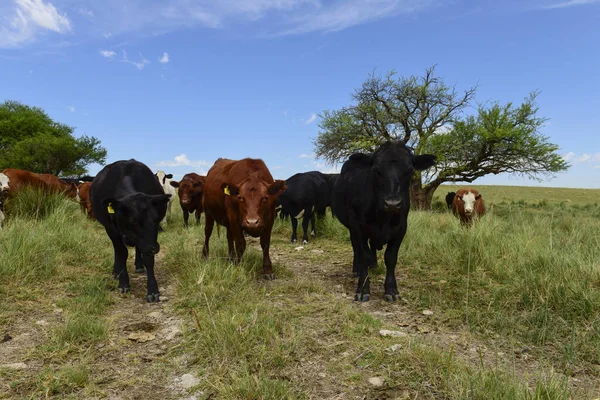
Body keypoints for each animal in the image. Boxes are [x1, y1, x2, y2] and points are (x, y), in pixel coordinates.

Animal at [91, 159, 171, 300]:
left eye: (155, 219)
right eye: (133, 220)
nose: (154, 248)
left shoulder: (150, 238)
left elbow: (148, 257)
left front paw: (152, 290)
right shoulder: (111, 229)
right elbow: (121, 253)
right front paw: (123, 283)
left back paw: (139, 265)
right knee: (117, 251)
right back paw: (116, 272)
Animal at [332, 142, 436, 302]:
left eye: (410, 171)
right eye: (376, 170)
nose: (392, 203)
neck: (383, 219)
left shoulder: (401, 228)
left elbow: (391, 258)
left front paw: (391, 290)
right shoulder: (357, 227)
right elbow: (363, 255)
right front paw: (363, 288)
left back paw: (374, 264)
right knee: (356, 248)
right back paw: (357, 269)